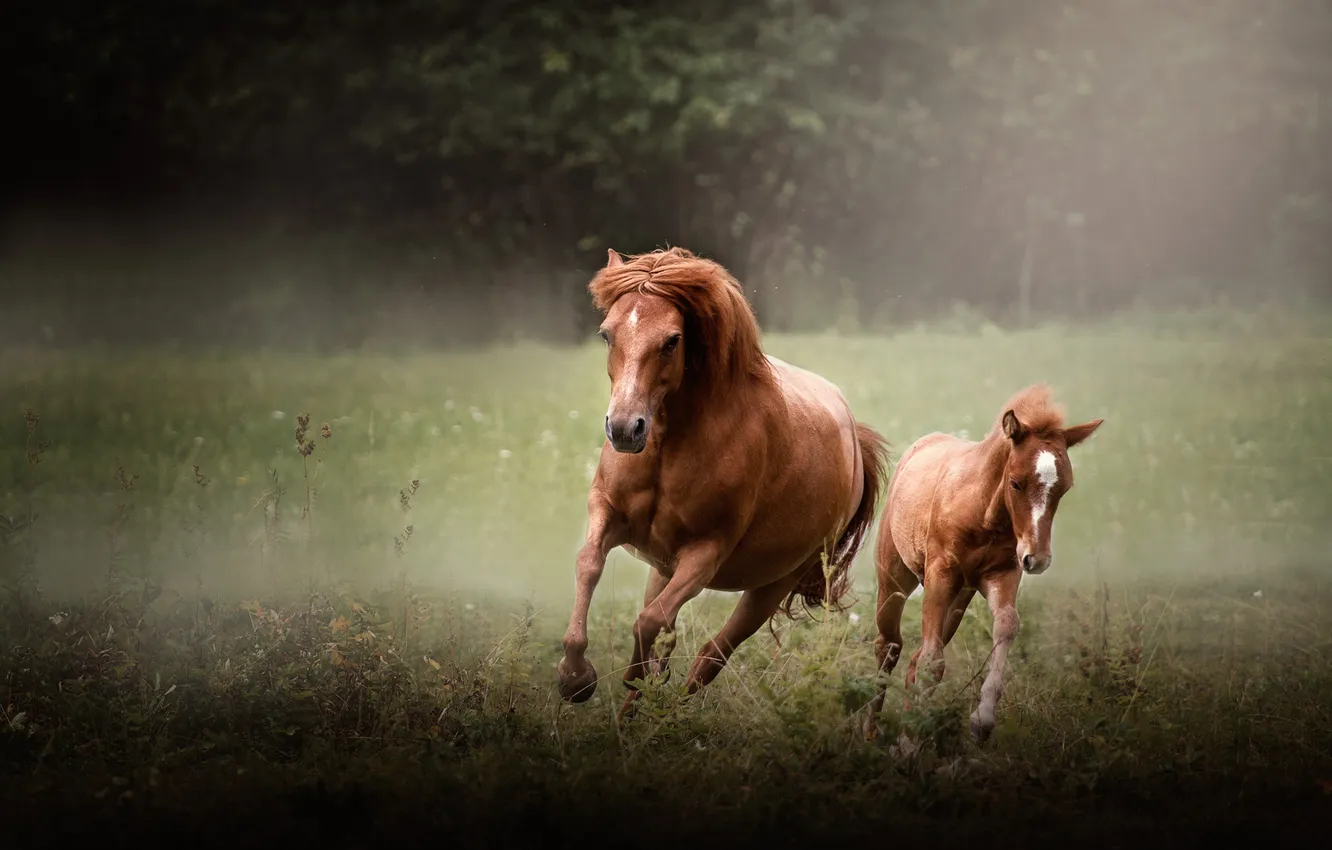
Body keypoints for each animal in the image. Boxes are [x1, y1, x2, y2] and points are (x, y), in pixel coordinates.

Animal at [556, 246, 890, 718]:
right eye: (607, 335)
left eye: (672, 340)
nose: (624, 429)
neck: (669, 446)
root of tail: (854, 439)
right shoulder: (608, 511)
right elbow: (589, 565)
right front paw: (574, 678)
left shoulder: (705, 554)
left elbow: (649, 623)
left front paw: (628, 678)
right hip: (663, 568)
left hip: (772, 585)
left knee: (711, 654)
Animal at [862, 384, 1103, 744]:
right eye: (1016, 482)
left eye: (1063, 487)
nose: (1038, 558)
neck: (983, 515)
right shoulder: (940, 575)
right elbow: (932, 660)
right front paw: (908, 742)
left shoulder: (1002, 574)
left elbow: (1006, 625)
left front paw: (981, 720)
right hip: (895, 578)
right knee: (889, 645)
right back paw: (871, 732)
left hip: (960, 599)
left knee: (915, 659)